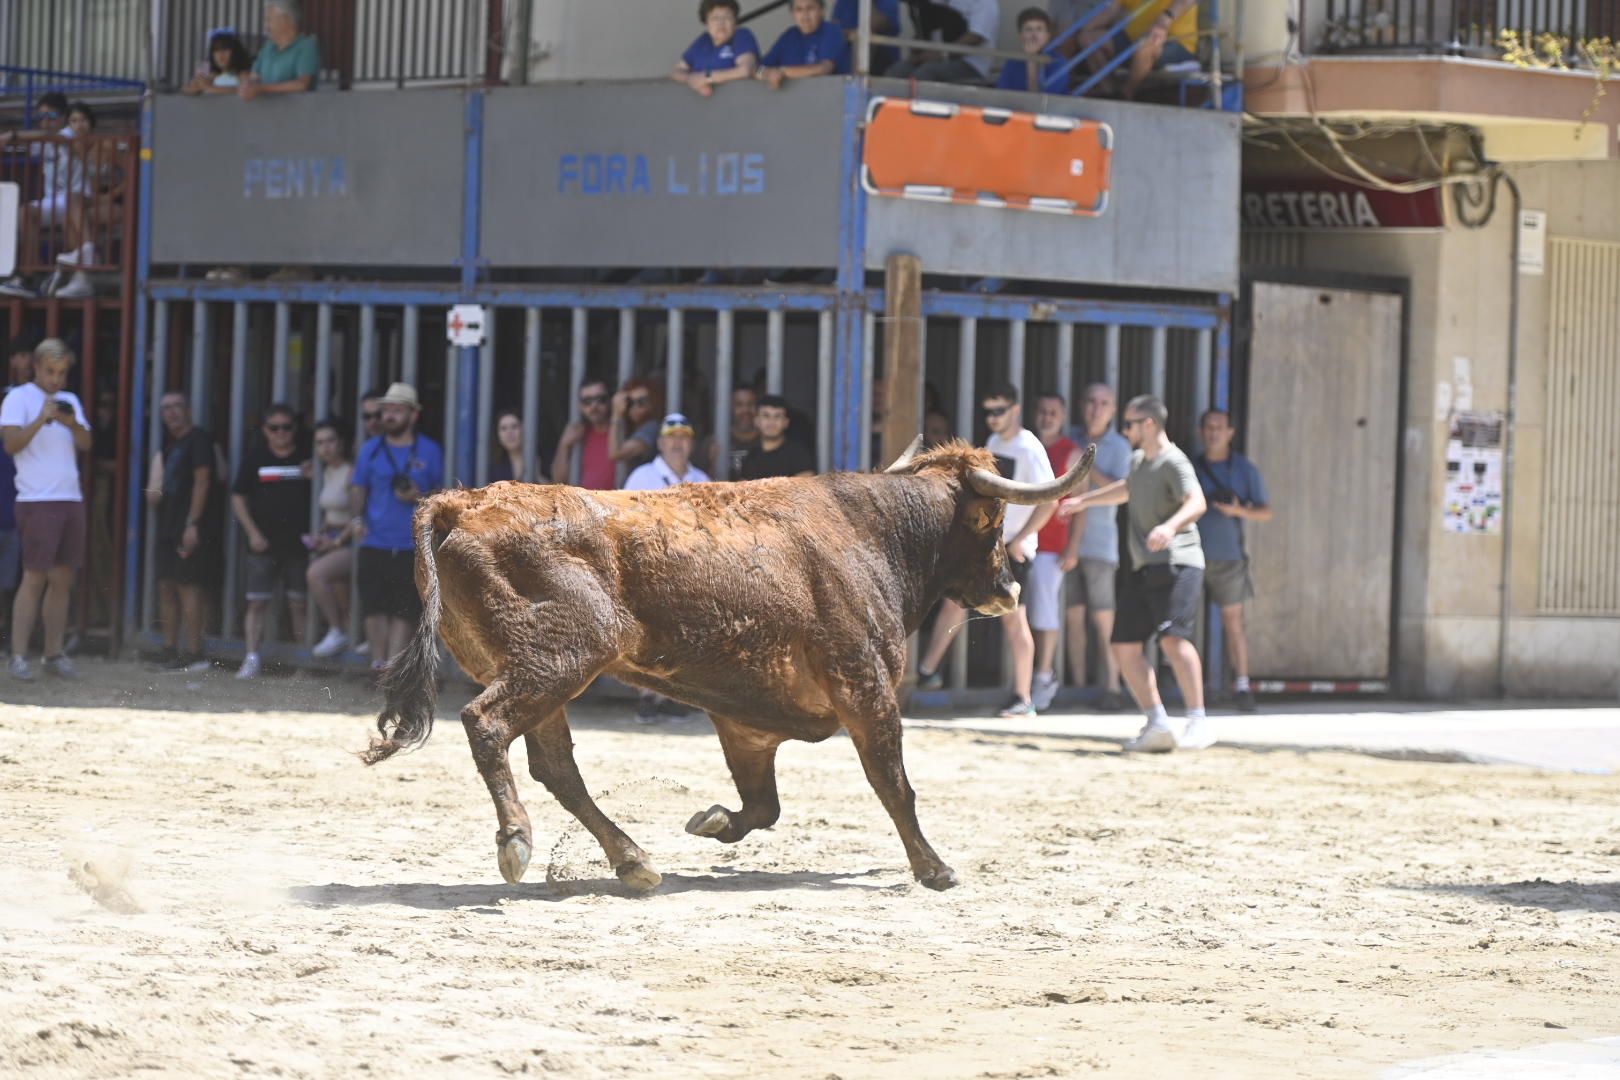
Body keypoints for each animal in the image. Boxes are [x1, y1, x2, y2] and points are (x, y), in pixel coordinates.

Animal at [362, 440, 1095, 893]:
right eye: (991, 518)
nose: (1010, 589)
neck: (867, 534)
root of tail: (461, 502)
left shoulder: (748, 723)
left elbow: (764, 805)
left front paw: (712, 821)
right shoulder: (866, 689)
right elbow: (894, 784)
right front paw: (935, 868)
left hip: (539, 671)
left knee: (554, 764)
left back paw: (634, 862)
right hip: (561, 658)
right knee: (487, 724)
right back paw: (517, 840)